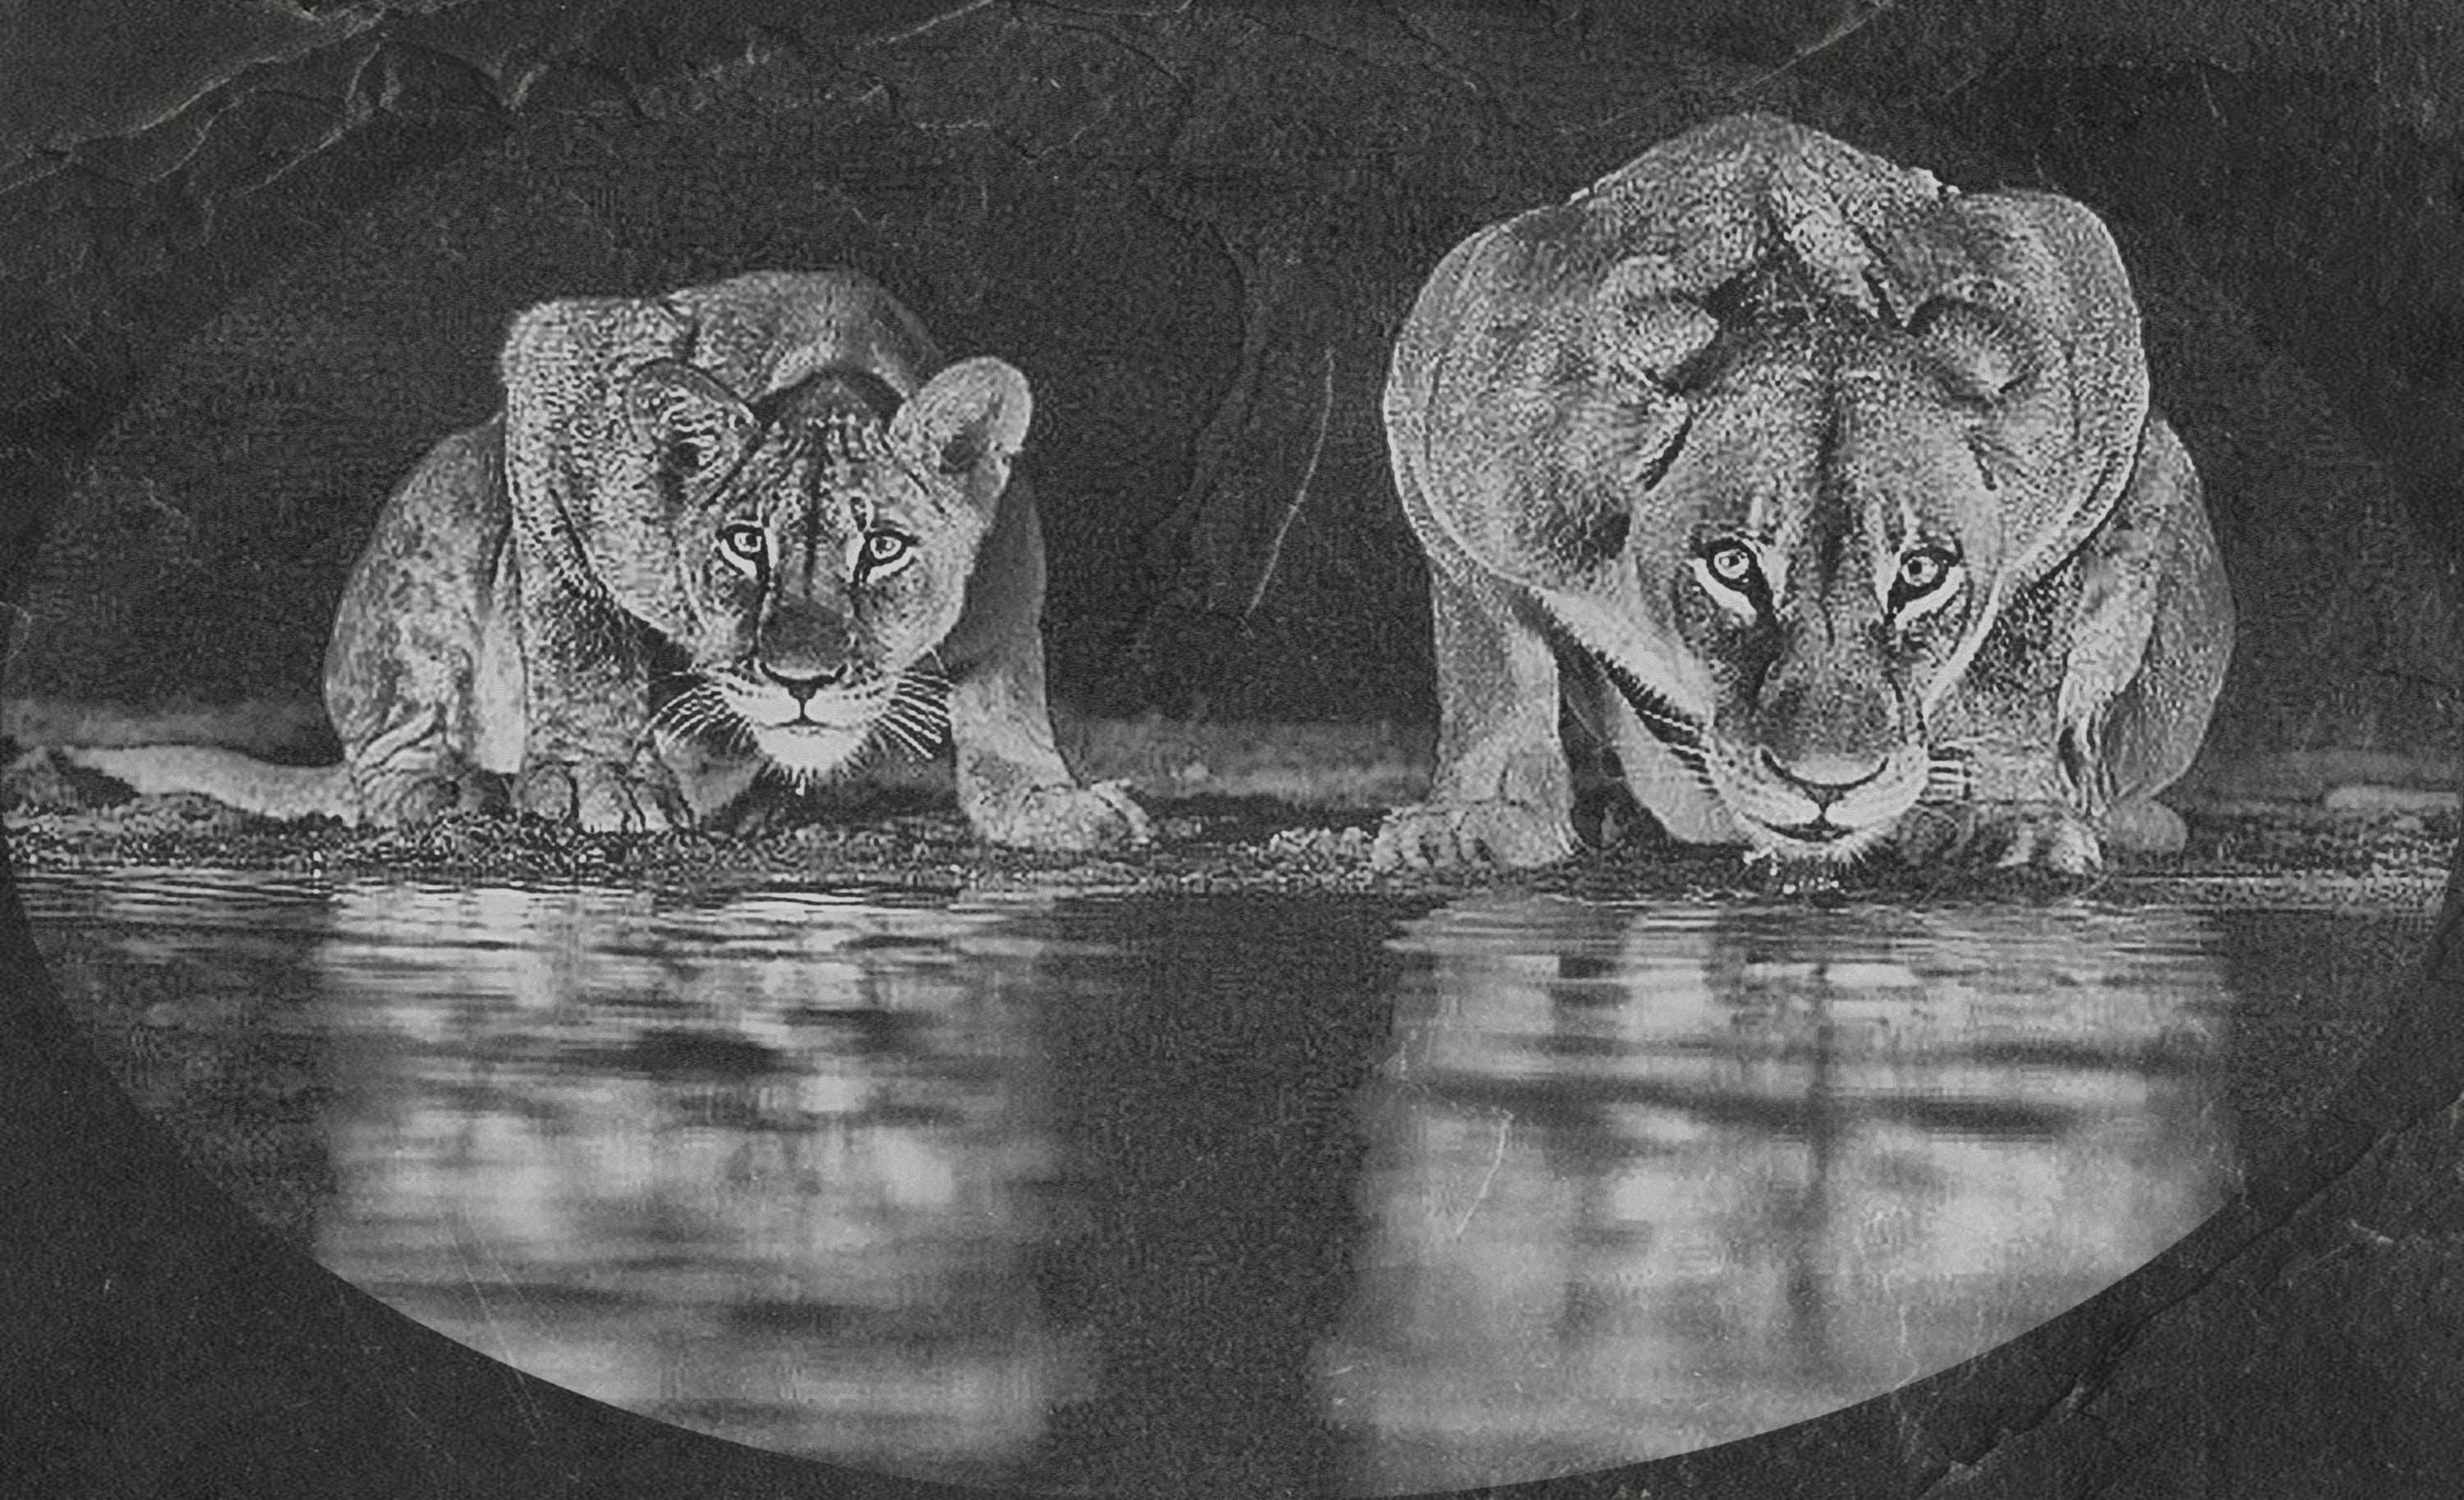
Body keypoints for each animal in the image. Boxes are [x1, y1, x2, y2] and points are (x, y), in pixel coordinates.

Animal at [61, 270, 1151, 852]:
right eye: (744, 542)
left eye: (883, 547)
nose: (799, 681)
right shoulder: (558, 360)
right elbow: (574, 615)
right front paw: (595, 773)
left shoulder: (1010, 570)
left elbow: (1009, 698)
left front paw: (1050, 800)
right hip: (445, 501)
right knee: (380, 765)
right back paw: (450, 790)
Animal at [1369, 113, 2233, 877]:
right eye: (1731, 565)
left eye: (1920, 573)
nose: (1827, 785)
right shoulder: (1455, 396)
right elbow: (1489, 659)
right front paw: (1479, 817)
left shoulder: (2075, 301)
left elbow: (2015, 654)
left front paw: (2005, 813)